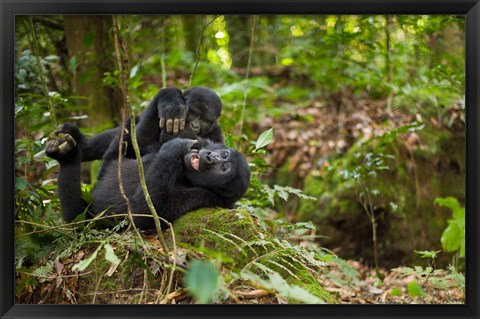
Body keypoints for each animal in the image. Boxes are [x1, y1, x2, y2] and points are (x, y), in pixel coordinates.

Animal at [45, 122, 251, 228]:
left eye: (223, 168)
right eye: (224, 154)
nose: (210, 157)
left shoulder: (205, 198)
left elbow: (145, 212)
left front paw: (175, 147)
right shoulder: (201, 139)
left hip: (86, 220)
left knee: (75, 217)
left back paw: (68, 158)